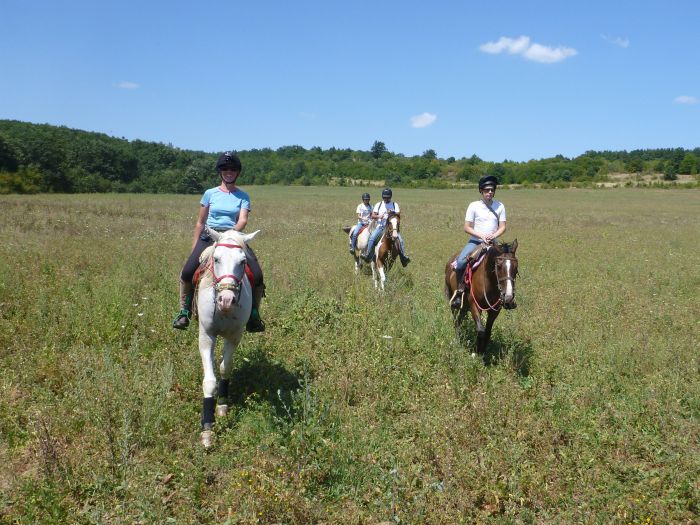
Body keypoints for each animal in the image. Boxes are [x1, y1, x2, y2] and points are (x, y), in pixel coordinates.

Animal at [196, 227, 258, 444]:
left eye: (243, 262)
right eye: (216, 259)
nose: (226, 299)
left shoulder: (234, 335)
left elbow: (225, 368)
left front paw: (222, 405)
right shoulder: (206, 336)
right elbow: (209, 381)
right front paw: (207, 428)